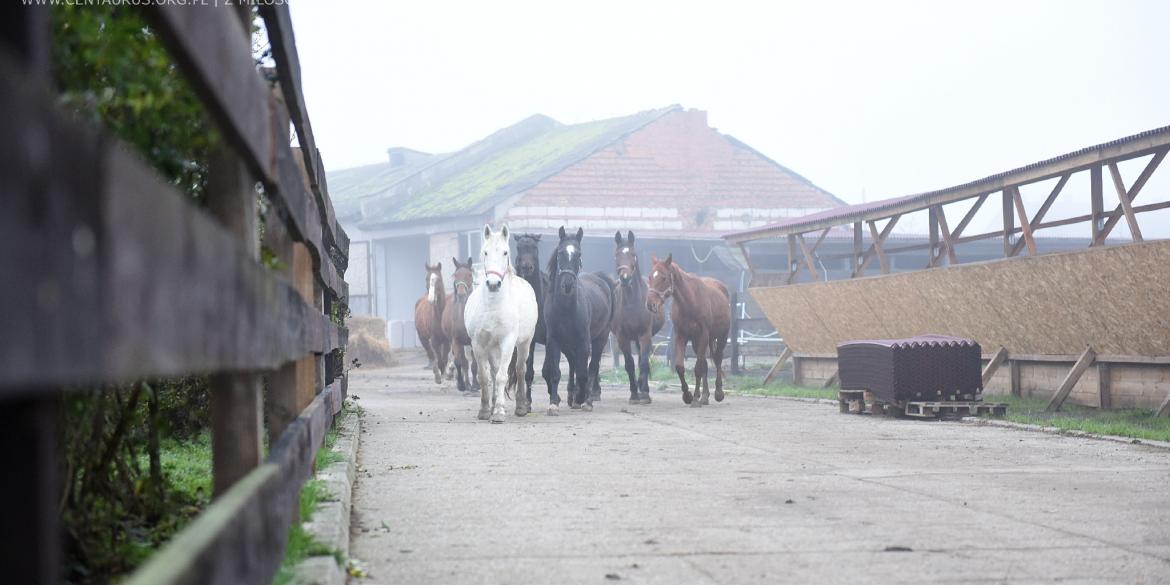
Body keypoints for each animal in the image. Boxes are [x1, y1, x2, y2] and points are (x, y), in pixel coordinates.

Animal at [439, 256, 477, 393]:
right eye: (455, 275)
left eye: (470, 275)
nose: (461, 294)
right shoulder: (456, 340)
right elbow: (459, 362)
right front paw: (461, 385)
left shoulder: (473, 341)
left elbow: (474, 364)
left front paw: (476, 385)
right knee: (463, 362)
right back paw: (466, 383)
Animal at [463, 225, 540, 423]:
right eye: (485, 252)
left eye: (505, 252)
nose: (493, 284)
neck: (492, 306)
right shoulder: (478, 344)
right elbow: (484, 376)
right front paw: (485, 410)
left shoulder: (508, 342)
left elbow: (502, 377)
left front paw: (498, 412)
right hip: (492, 348)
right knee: (493, 370)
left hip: (524, 344)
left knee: (520, 369)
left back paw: (521, 407)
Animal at [542, 224, 617, 411]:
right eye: (561, 253)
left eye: (579, 254)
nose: (568, 284)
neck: (566, 310)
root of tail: (601, 279)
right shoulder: (554, 341)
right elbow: (556, 372)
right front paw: (553, 403)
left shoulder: (584, 341)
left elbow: (584, 373)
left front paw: (582, 397)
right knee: (574, 364)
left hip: (601, 338)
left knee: (592, 367)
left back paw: (587, 400)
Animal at [608, 230, 664, 404]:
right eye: (617, 254)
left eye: (633, 254)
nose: (625, 278)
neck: (633, 303)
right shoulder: (622, 337)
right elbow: (629, 365)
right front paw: (633, 394)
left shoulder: (644, 334)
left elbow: (644, 363)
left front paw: (644, 393)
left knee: (642, 360)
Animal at [645, 253, 725, 409]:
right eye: (650, 276)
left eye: (664, 277)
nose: (650, 304)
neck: (690, 301)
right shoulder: (681, 336)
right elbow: (680, 367)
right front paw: (688, 395)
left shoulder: (704, 335)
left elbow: (698, 368)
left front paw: (694, 398)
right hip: (696, 342)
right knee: (705, 364)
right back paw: (704, 396)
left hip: (720, 337)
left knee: (717, 359)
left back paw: (718, 392)